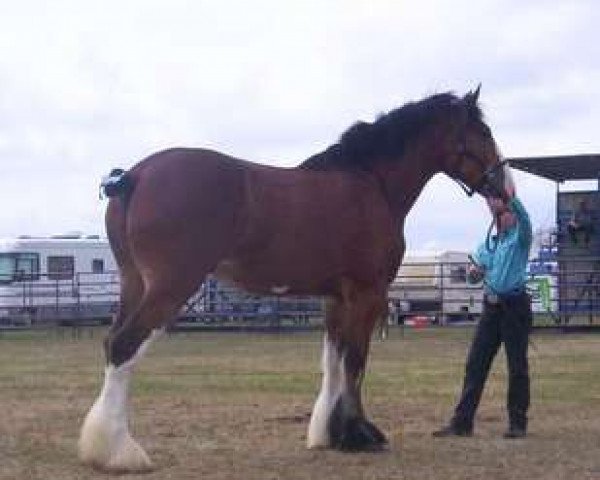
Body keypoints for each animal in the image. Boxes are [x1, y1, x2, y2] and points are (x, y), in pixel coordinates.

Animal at [78, 88, 510, 470]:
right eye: (484, 132)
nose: (505, 188)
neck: (371, 182)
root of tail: (135, 176)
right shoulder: (367, 293)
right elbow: (356, 361)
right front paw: (358, 435)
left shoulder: (336, 297)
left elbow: (333, 360)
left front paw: (327, 435)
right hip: (171, 287)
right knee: (124, 347)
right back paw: (120, 453)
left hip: (134, 284)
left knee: (113, 346)